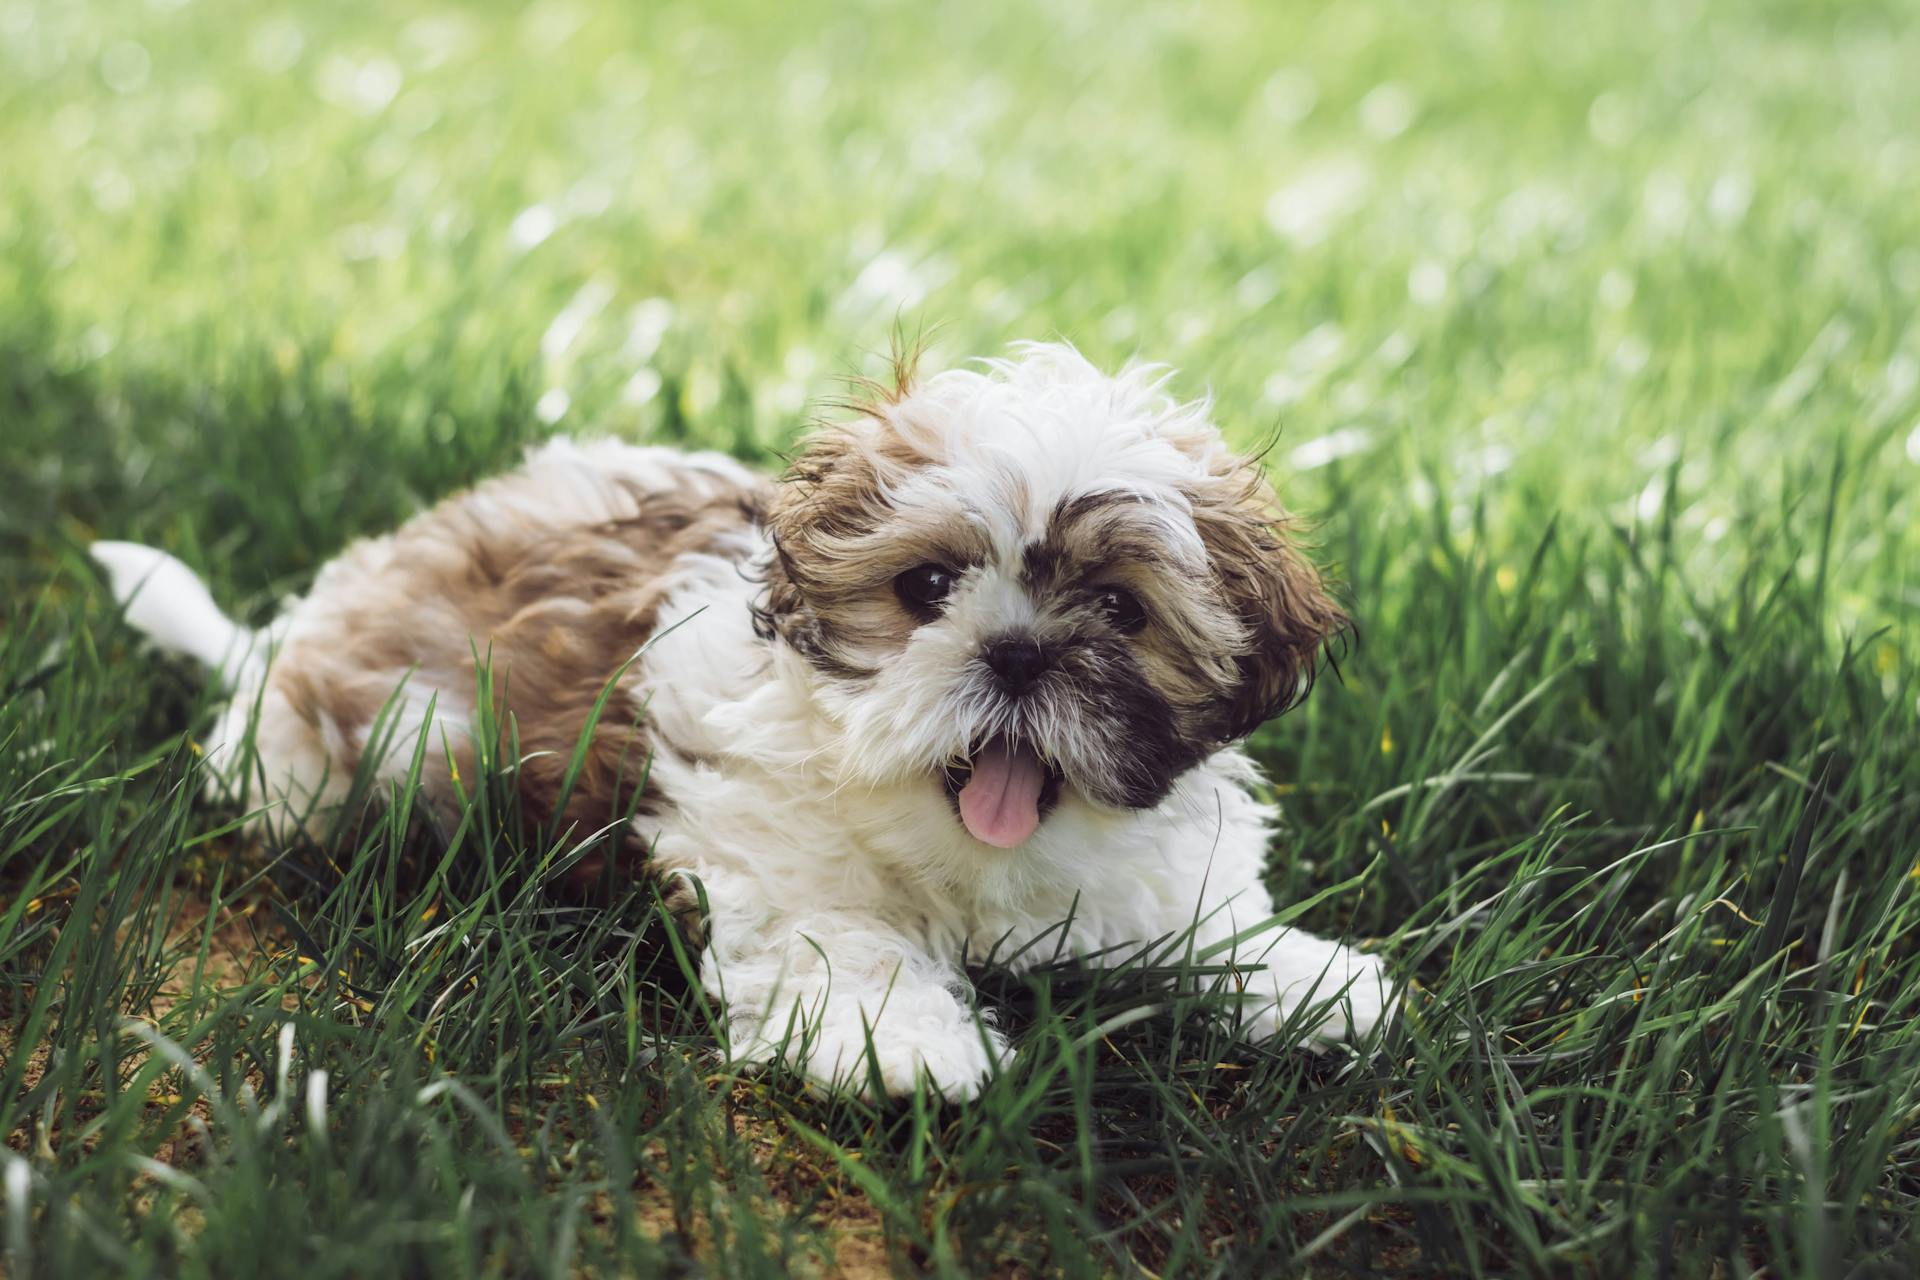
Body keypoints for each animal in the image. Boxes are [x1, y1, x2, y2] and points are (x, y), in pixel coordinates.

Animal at [97, 343, 1390, 1105]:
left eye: (1120, 609)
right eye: (926, 587)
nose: (1018, 651)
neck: (973, 854)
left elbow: (1191, 917)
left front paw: (1304, 977)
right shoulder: (770, 852)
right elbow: (842, 939)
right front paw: (906, 1042)